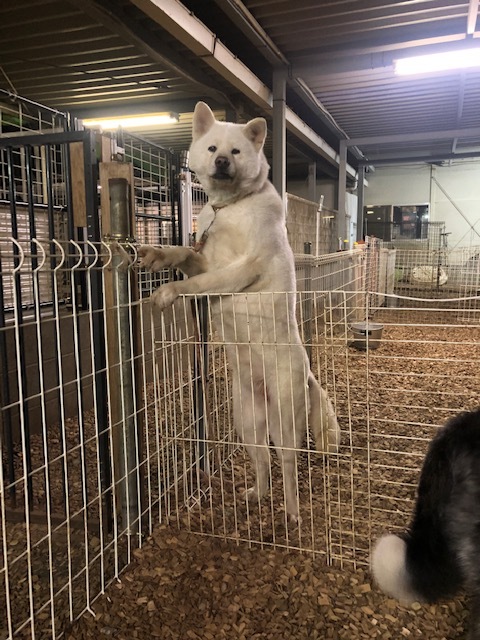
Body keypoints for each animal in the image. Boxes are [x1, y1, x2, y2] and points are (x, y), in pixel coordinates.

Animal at [139, 99, 342, 520]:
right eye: (213, 148)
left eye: (235, 152)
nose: (221, 163)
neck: (228, 208)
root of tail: (308, 374)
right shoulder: (204, 259)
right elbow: (182, 252)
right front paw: (155, 256)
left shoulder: (240, 268)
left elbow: (195, 285)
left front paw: (168, 292)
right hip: (246, 423)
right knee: (262, 461)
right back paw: (257, 495)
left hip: (285, 422)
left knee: (288, 464)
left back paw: (292, 514)